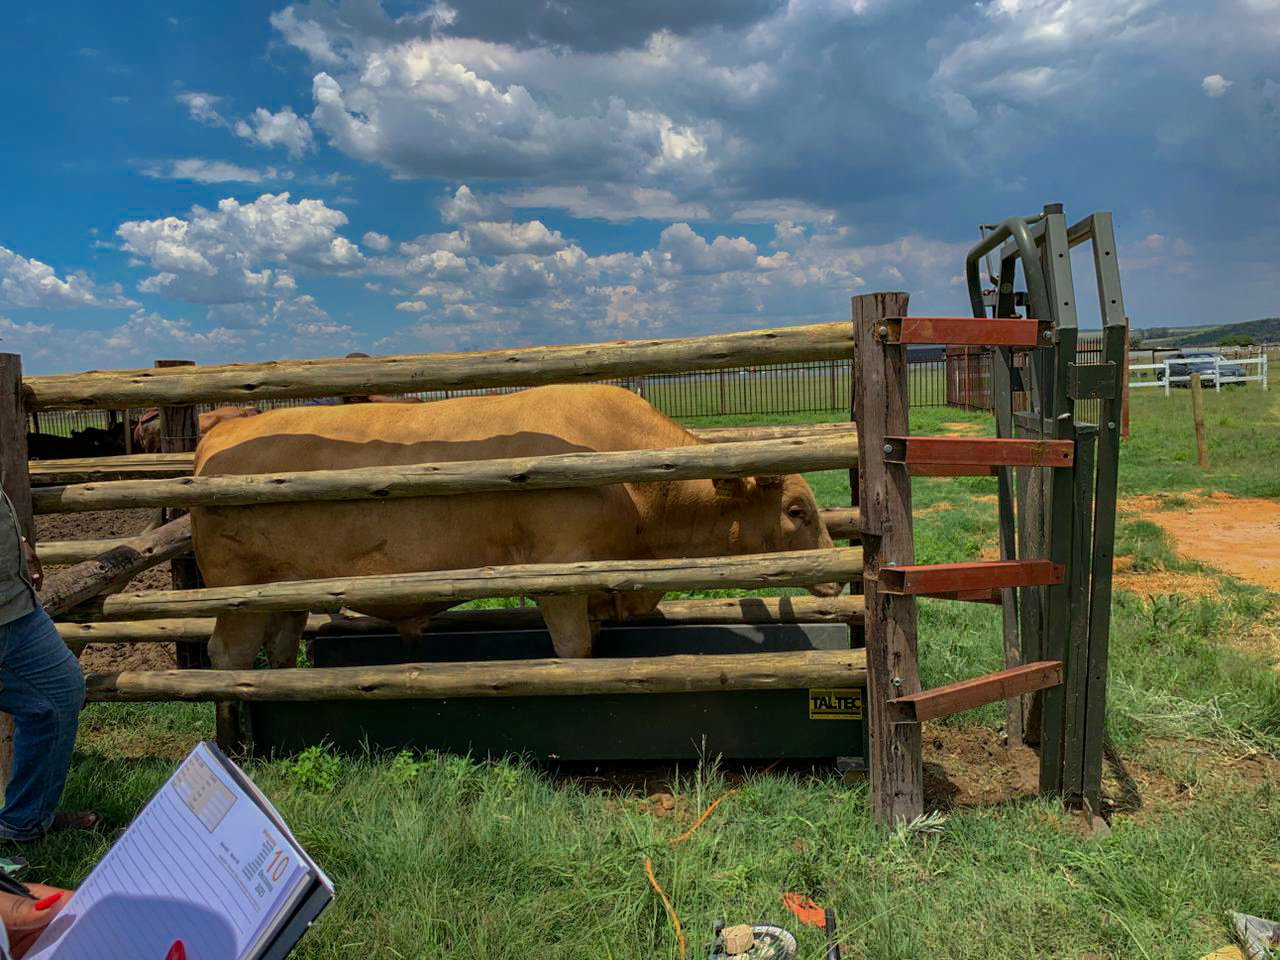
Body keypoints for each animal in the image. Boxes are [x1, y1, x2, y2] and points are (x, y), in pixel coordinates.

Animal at [191, 384, 840, 677]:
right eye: (796, 511)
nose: (835, 579)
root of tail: (224, 429)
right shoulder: (561, 577)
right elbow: (575, 651)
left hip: (284, 593)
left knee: (279, 647)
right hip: (237, 592)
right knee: (227, 655)